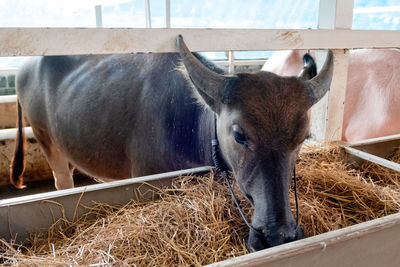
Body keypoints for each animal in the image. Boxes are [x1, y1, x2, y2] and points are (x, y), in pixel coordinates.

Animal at [10, 36, 332, 251]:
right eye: (239, 135)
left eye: (302, 137)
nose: (277, 235)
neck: (189, 127)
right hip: (46, 139)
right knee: (61, 180)